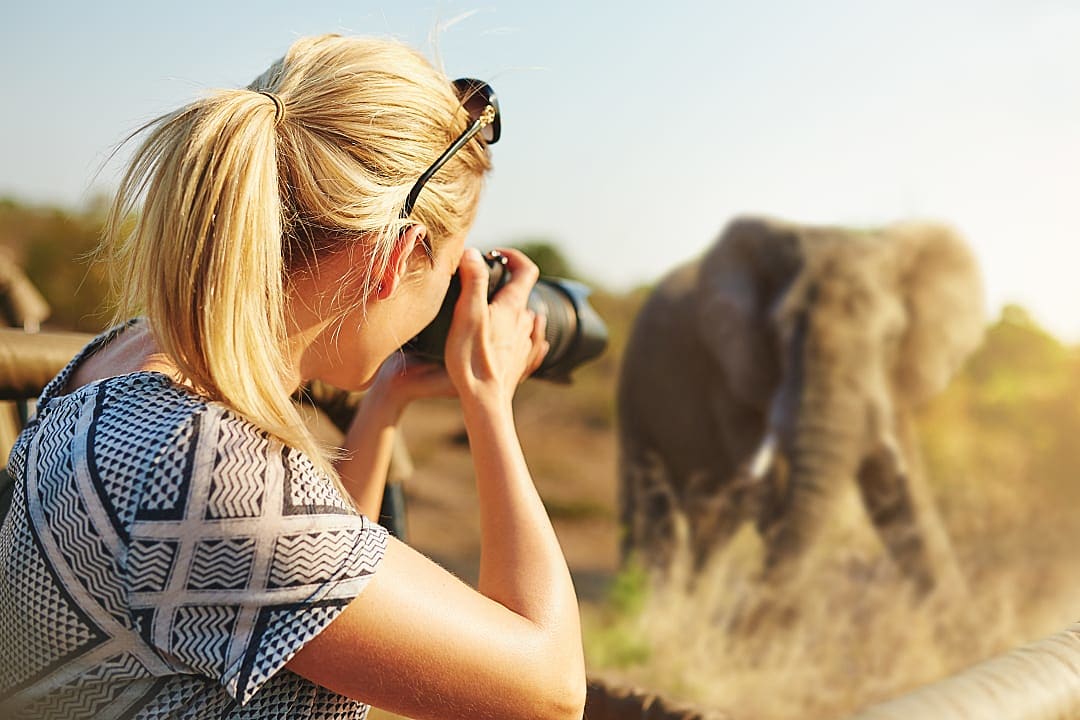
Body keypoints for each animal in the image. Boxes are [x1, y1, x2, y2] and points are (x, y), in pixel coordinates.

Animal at [617, 216, 985, 592]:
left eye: (891, 338)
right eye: (780, 331)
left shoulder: (892, 382)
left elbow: (898, 495)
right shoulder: (734, 379)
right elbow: (774, 498)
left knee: (711, 531)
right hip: (635, 397)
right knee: (652, 518)